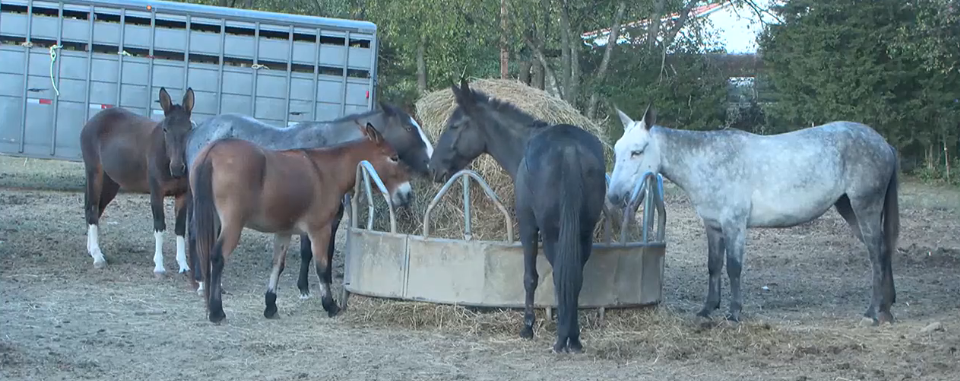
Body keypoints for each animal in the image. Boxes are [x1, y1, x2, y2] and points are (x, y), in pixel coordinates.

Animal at [81, 87, 197, 274]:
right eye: (165, 129)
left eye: (188, 129)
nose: (178, 168)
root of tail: (91, 122)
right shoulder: (156, 193)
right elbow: (159, 225)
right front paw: (159, 266)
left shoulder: (182, 195)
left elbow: (180, 228)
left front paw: (184, 266)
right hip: (94, 173)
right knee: (92, 209)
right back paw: (98, 257)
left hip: (111, 183)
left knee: (96, 209)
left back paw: (91, 250)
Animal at [430, 78, 604, 352]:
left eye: (454, 125)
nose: (432, 167)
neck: (524, 146)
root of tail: (569, 150)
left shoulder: (528, 227)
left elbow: (530, 278)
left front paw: (528, 327)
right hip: (584, 233)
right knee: (575, 276)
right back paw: (574, 338)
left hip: (553, 233)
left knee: (560, 273)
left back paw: (563, 337)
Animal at [608, 105, 900, 326]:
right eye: (617, 149)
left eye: (637, 151)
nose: (613, 196)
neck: (708, 162)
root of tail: (885, 146)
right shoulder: (713, 226)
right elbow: (714, 266)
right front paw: (707, 309)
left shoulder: (734, 224)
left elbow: (734, 267)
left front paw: (734, 313)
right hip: (848, 207)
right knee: (884, 252)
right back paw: (886, 309)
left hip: (864, 206)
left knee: (876, 255)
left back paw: (872, 313)